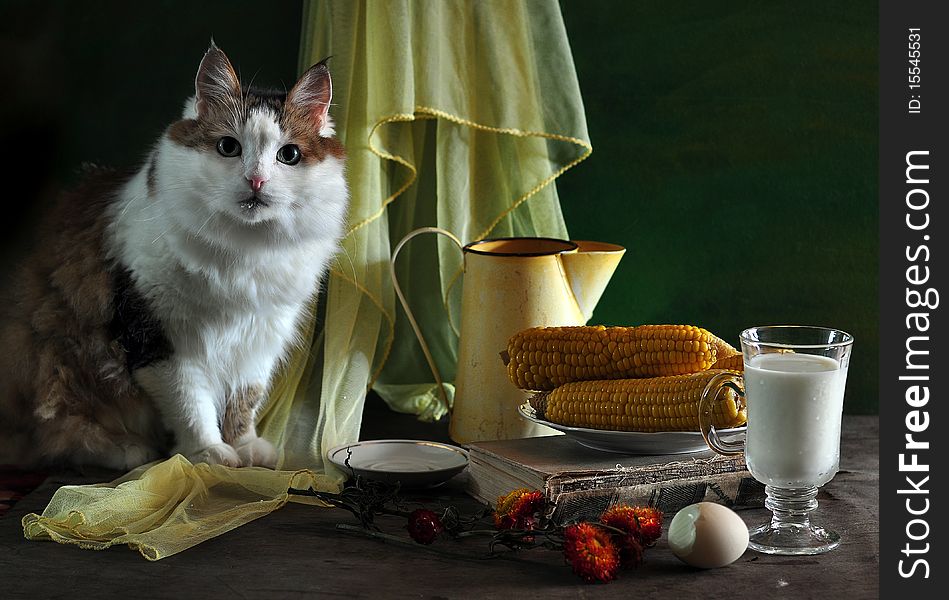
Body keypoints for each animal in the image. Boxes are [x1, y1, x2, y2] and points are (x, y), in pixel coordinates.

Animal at [0, 43, 348, 474]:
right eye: (229, 147)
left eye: (289, 155)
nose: (256, 180)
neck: (245, 251)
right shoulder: (161, 339)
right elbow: (191, 406)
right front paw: (209, 455)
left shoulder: (260, 337)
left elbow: (244, 401)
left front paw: (245, 447)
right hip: (53, 358)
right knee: (62, 433)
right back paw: (130, 450)